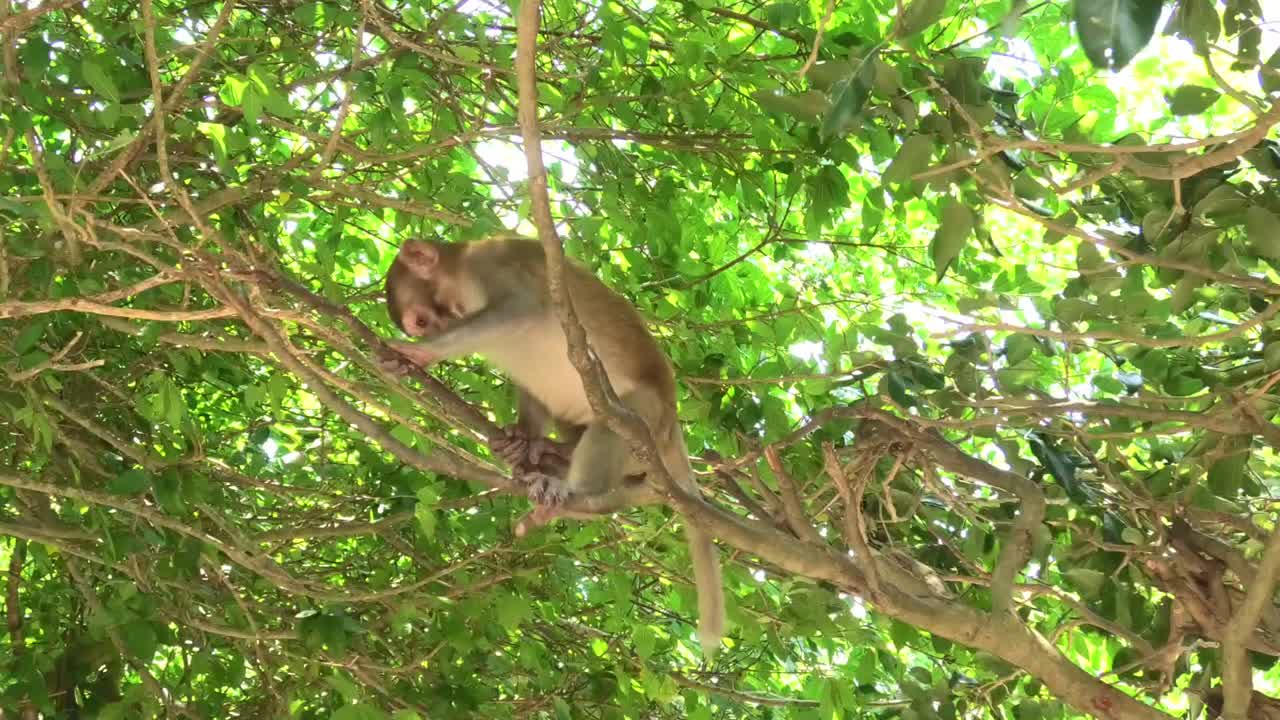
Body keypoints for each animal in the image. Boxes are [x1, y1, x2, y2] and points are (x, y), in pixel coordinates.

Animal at [380, 236, 725, 656]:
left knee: (616, 423)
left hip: (647, 420)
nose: (439, 327)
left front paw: (422, 352)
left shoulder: (492, 264)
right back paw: (552, 454)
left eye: (422, 323)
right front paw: (523, 437)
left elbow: (520, 309)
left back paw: (576, 494)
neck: (461, 270)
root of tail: (672, 419)